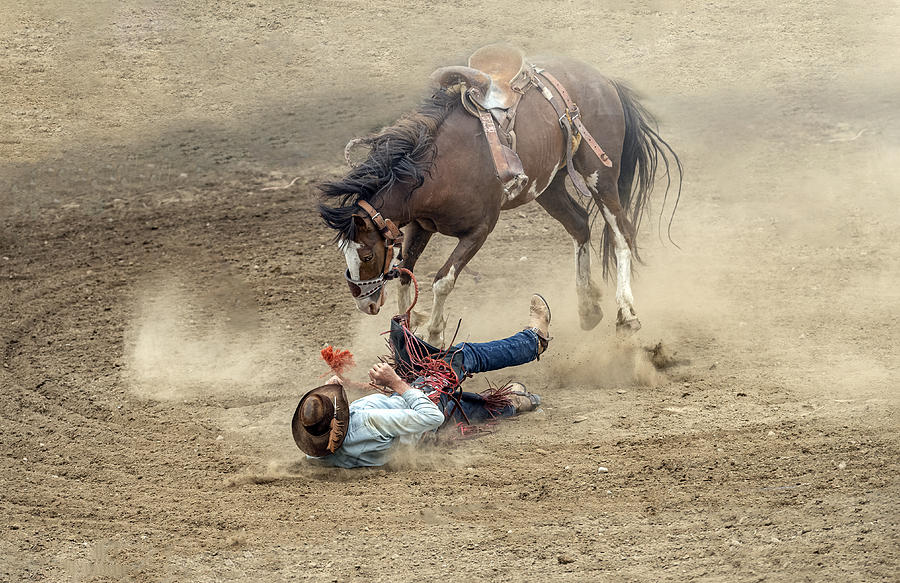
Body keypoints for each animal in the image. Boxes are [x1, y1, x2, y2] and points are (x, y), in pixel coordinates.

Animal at [320, 46, 680, 346]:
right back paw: (588, 308)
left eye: (367, 255)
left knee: (621, 233)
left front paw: (435, 333)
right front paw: (406, 332)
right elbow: (405, 274)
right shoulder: (420, 225)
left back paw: (627, 315)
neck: (440, 164)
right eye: (344, 253)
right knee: (579, 225)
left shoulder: (480, 229)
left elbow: (442, 280)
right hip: (549, 186)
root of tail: (604, 81)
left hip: (600, 176)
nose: (365, 303)